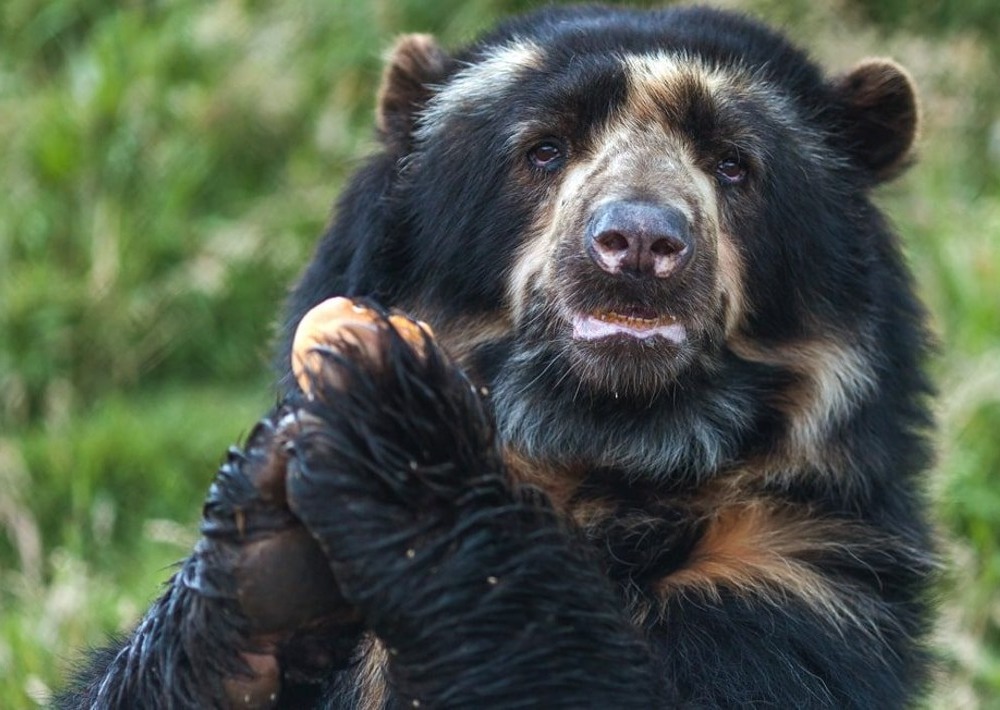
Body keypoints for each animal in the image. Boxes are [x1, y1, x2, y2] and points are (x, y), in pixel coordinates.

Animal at [60, 2, 936, 708]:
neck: (603, 461)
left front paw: (394, 418)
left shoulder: (800, 576)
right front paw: (267, 550)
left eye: (733, 164)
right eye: (543, 150)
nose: (639, 244)